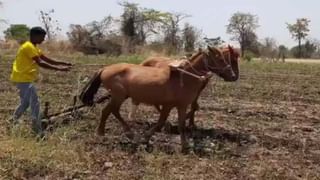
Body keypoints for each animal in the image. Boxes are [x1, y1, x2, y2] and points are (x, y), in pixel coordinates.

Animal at [80, 45, 235, 151]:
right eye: (219, 58)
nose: (233, 75)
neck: (184, 77)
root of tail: (104, 69)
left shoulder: (179, 106)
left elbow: (177, 124)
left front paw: (183, 145)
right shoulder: (172, 105)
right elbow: (165, 123)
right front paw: (147, 138)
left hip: (120, 96)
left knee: (114, 111)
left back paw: (129, 133)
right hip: (118, 96)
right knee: (107, 111)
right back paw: (103, 133)